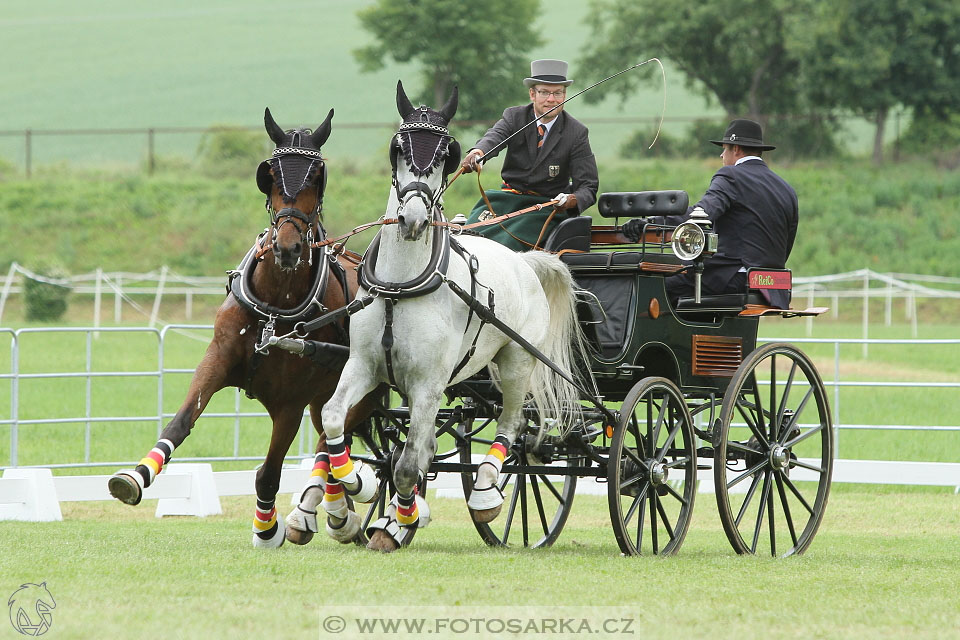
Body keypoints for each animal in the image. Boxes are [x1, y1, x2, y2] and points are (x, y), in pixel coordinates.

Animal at [110, 107, 380, 548]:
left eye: (316, 176)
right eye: (270, 174)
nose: (287, 248)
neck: (276, 306)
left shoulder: (290, 403)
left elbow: (269, 473)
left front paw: (267, 529)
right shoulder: (218, 359)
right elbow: (181, 421)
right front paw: (136, 475)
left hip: (362, 390)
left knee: (333, 446)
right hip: (325, 399)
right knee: (332, 443)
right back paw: (339, 513)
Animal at [312, 80, 588, 552]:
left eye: (445, 153)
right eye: (399, 147)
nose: (412, 219)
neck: (401, 286)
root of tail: (525, 260)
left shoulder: (429, 384)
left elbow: (408, 465)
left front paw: (398, 521)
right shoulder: (364, 366)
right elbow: (336, 419)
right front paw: (352, 488)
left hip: (517, 361)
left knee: (512, 425)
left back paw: (486, 493)